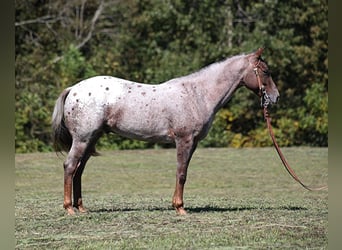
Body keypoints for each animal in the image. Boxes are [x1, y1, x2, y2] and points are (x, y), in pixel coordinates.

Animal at [52, 47, 280, 215]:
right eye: (265, 71)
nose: (275, 97)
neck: (197, 94)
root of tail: (73, 89)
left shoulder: (192, 143)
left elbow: (183, 172)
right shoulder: (184, 140)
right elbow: (181, 173)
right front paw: (180, 208)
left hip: (91, 140)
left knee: (79, 170)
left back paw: (81, 208)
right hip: (82, 139)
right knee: (70, 166)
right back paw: (69, 208)